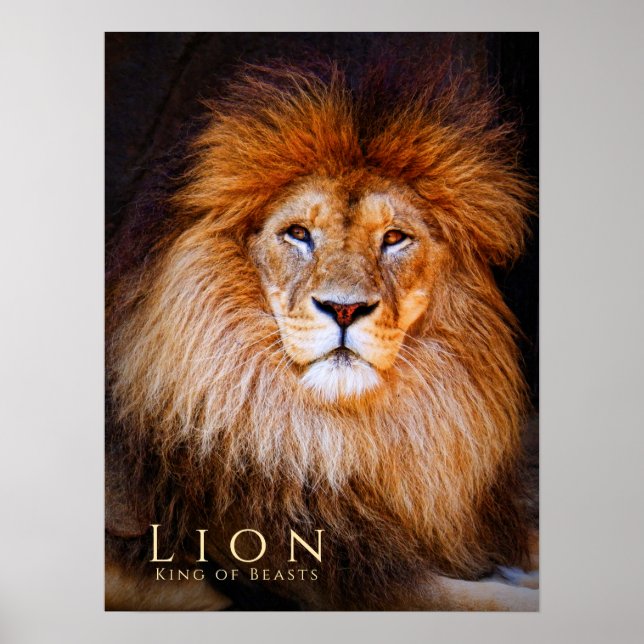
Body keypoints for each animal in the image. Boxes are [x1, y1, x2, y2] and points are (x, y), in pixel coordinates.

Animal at [105, 61, 538, 611]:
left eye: (394, 238)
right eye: (298, 234)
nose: (344, 308)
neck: (333, 439)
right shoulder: (338, 579)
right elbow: (498, 601)